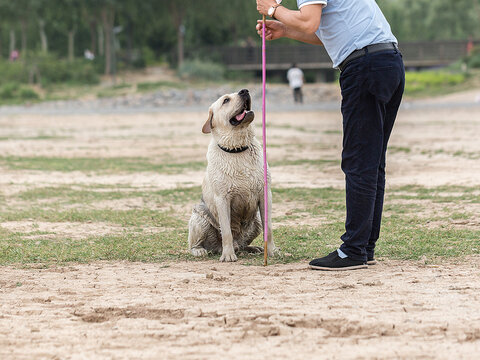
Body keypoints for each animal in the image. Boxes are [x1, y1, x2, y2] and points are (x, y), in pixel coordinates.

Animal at [188, 88, 278, 262]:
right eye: (226, 100)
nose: (244, 91)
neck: (237, 149)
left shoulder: (265, 194)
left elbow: (269, 228)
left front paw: (271, 252)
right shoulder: (222, 199)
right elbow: (227, 231)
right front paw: (228, 255)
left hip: (256, 220)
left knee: (243, 244)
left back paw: (252, 248)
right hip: (199, 218)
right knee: (197, 244)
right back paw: (201, 250)